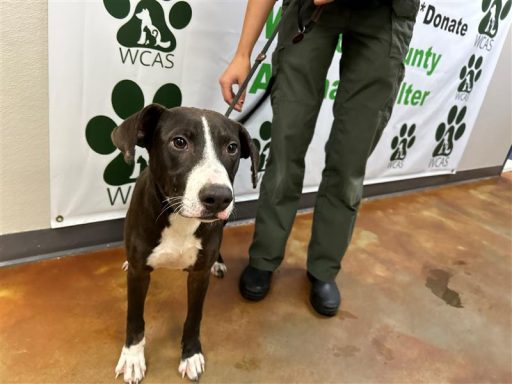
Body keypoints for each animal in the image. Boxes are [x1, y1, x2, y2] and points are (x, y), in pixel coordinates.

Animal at [110, 103, 258, 382]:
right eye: (179, 142)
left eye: (232, 147)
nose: (219, 197)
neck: (179, 218)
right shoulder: (139, 273)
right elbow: (134, 318)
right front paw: (133, 357)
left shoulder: (199, 276)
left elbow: (194, 318)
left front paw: (190, 354)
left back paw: (218, 263)